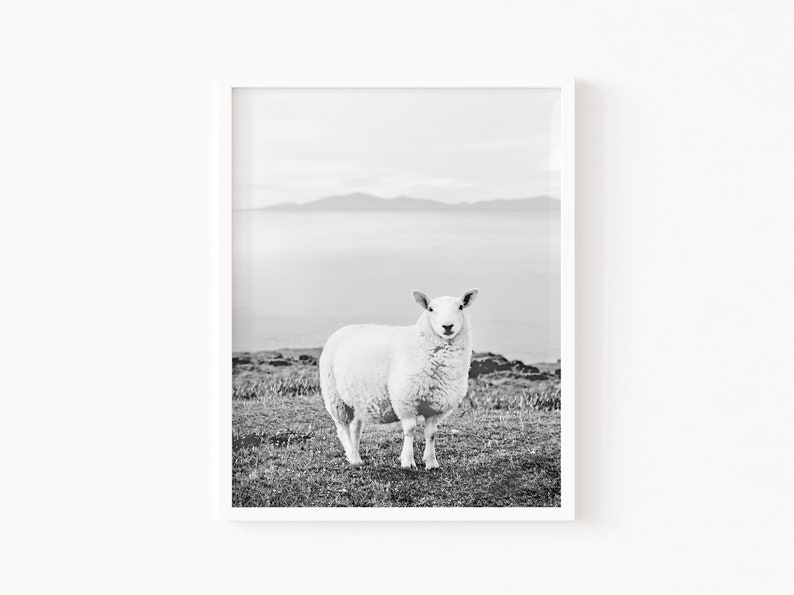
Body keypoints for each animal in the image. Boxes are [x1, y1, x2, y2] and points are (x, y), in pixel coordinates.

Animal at [319, 289, 479, 469]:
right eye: (430, 309)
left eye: (460, 307)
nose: (447, 326)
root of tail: (343, 329)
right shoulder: (405, 400)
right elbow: (410, 430)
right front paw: (408, 461)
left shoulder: (435, 405)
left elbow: (431, 434)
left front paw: (431, 462)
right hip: (335, 396)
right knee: (343, 428)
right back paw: (354, 458)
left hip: (356, 400)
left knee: (355, 428)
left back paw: (355, 452)